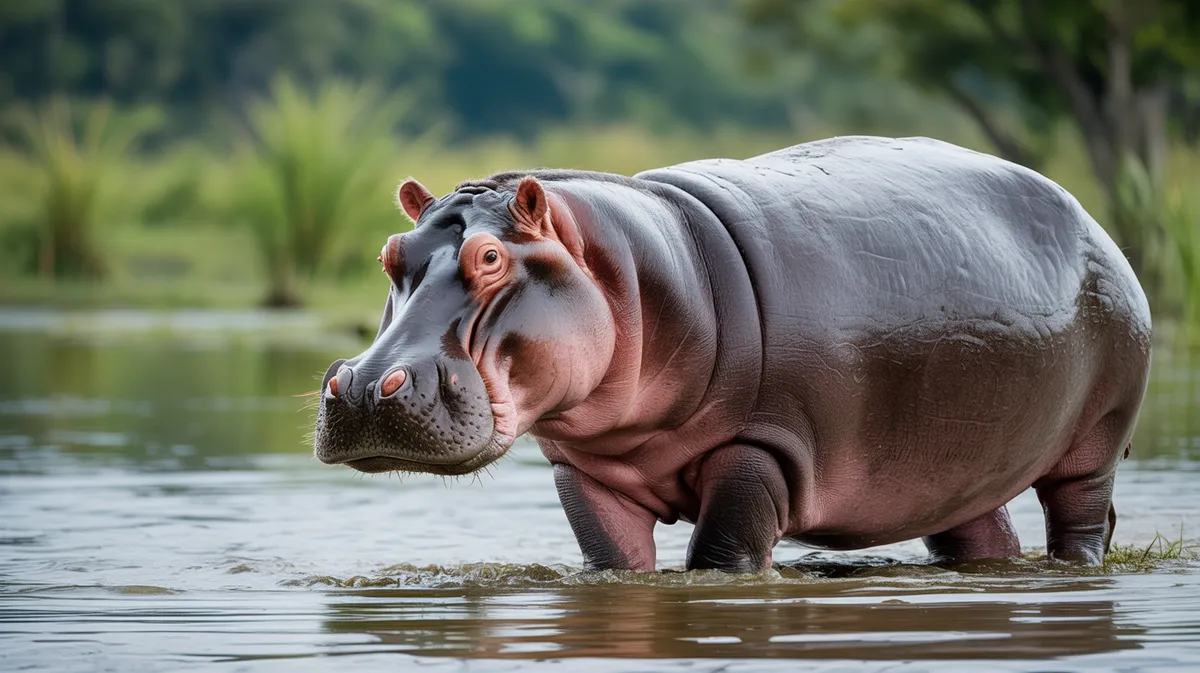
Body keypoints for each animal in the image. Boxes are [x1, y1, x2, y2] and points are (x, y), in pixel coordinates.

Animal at [314, 136, 1151, 572]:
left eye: (490, 258)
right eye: (391, 254)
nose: (359, 385)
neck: (637, 273)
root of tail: (1092, 218)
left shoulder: (763, 446)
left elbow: (719, 556)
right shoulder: (586, 471)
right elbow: (613, 562)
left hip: (1097, 433)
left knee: (1080, 515)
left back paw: (1075, 566)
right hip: (957, 471)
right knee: (981, 535)